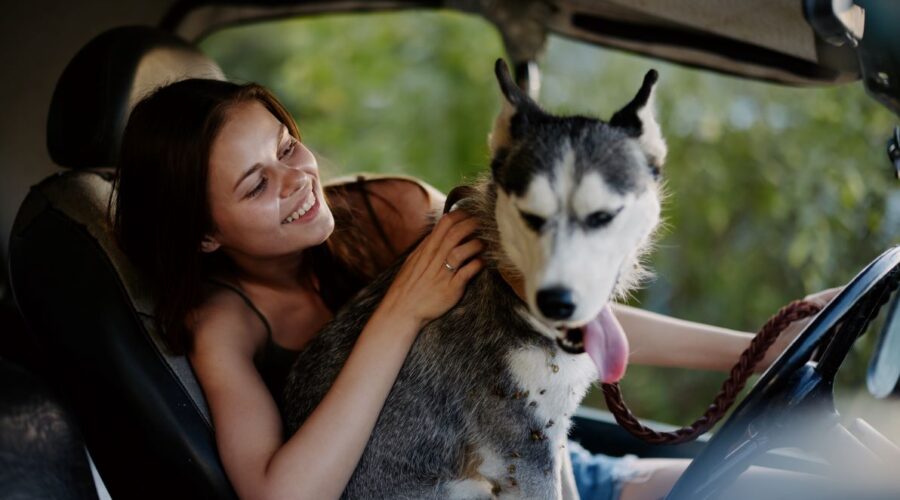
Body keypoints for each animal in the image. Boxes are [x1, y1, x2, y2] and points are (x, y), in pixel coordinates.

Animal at [284, 60, 664, 498]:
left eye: (603, 216)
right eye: (531, 216)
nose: (558, 301)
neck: (508, 287)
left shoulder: (553, 431)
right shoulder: (525, 453)